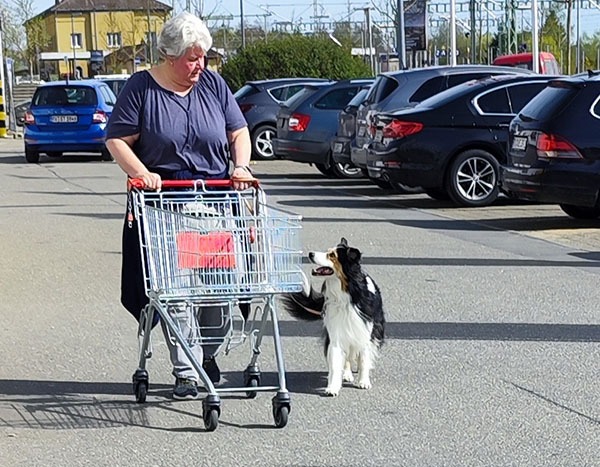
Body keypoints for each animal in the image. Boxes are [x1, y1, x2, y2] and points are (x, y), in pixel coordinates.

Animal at [282, 238, 384, 394]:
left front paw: (363, 381)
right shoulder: (336, 333)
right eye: (327, 251)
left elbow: (364, 359)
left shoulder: (365, 332)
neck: (345, 294)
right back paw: (346, 374)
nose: (310, 254)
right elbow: (336, 363)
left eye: (332, 255)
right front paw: (333, 387)